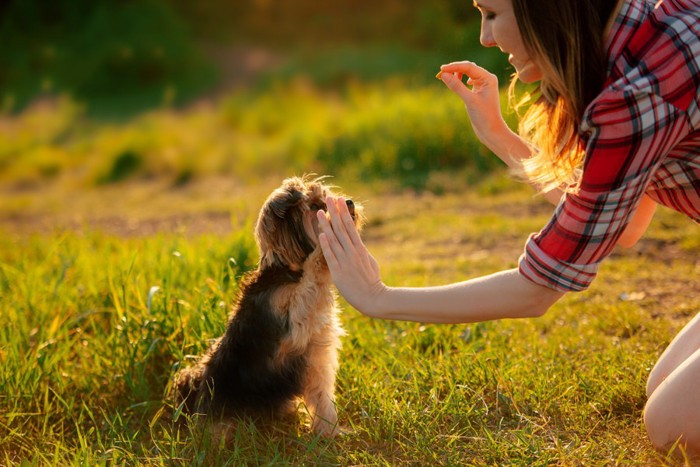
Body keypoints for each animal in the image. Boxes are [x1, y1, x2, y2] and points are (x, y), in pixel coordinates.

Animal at [175, 176, 364, 438]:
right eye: (316, 206)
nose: (348, 202)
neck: (289, 272)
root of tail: (196, 403)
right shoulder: (293, 326)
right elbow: (309, 282)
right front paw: (322, 253)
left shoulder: (317, 353)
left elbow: (323, 397)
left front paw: (331, 431)